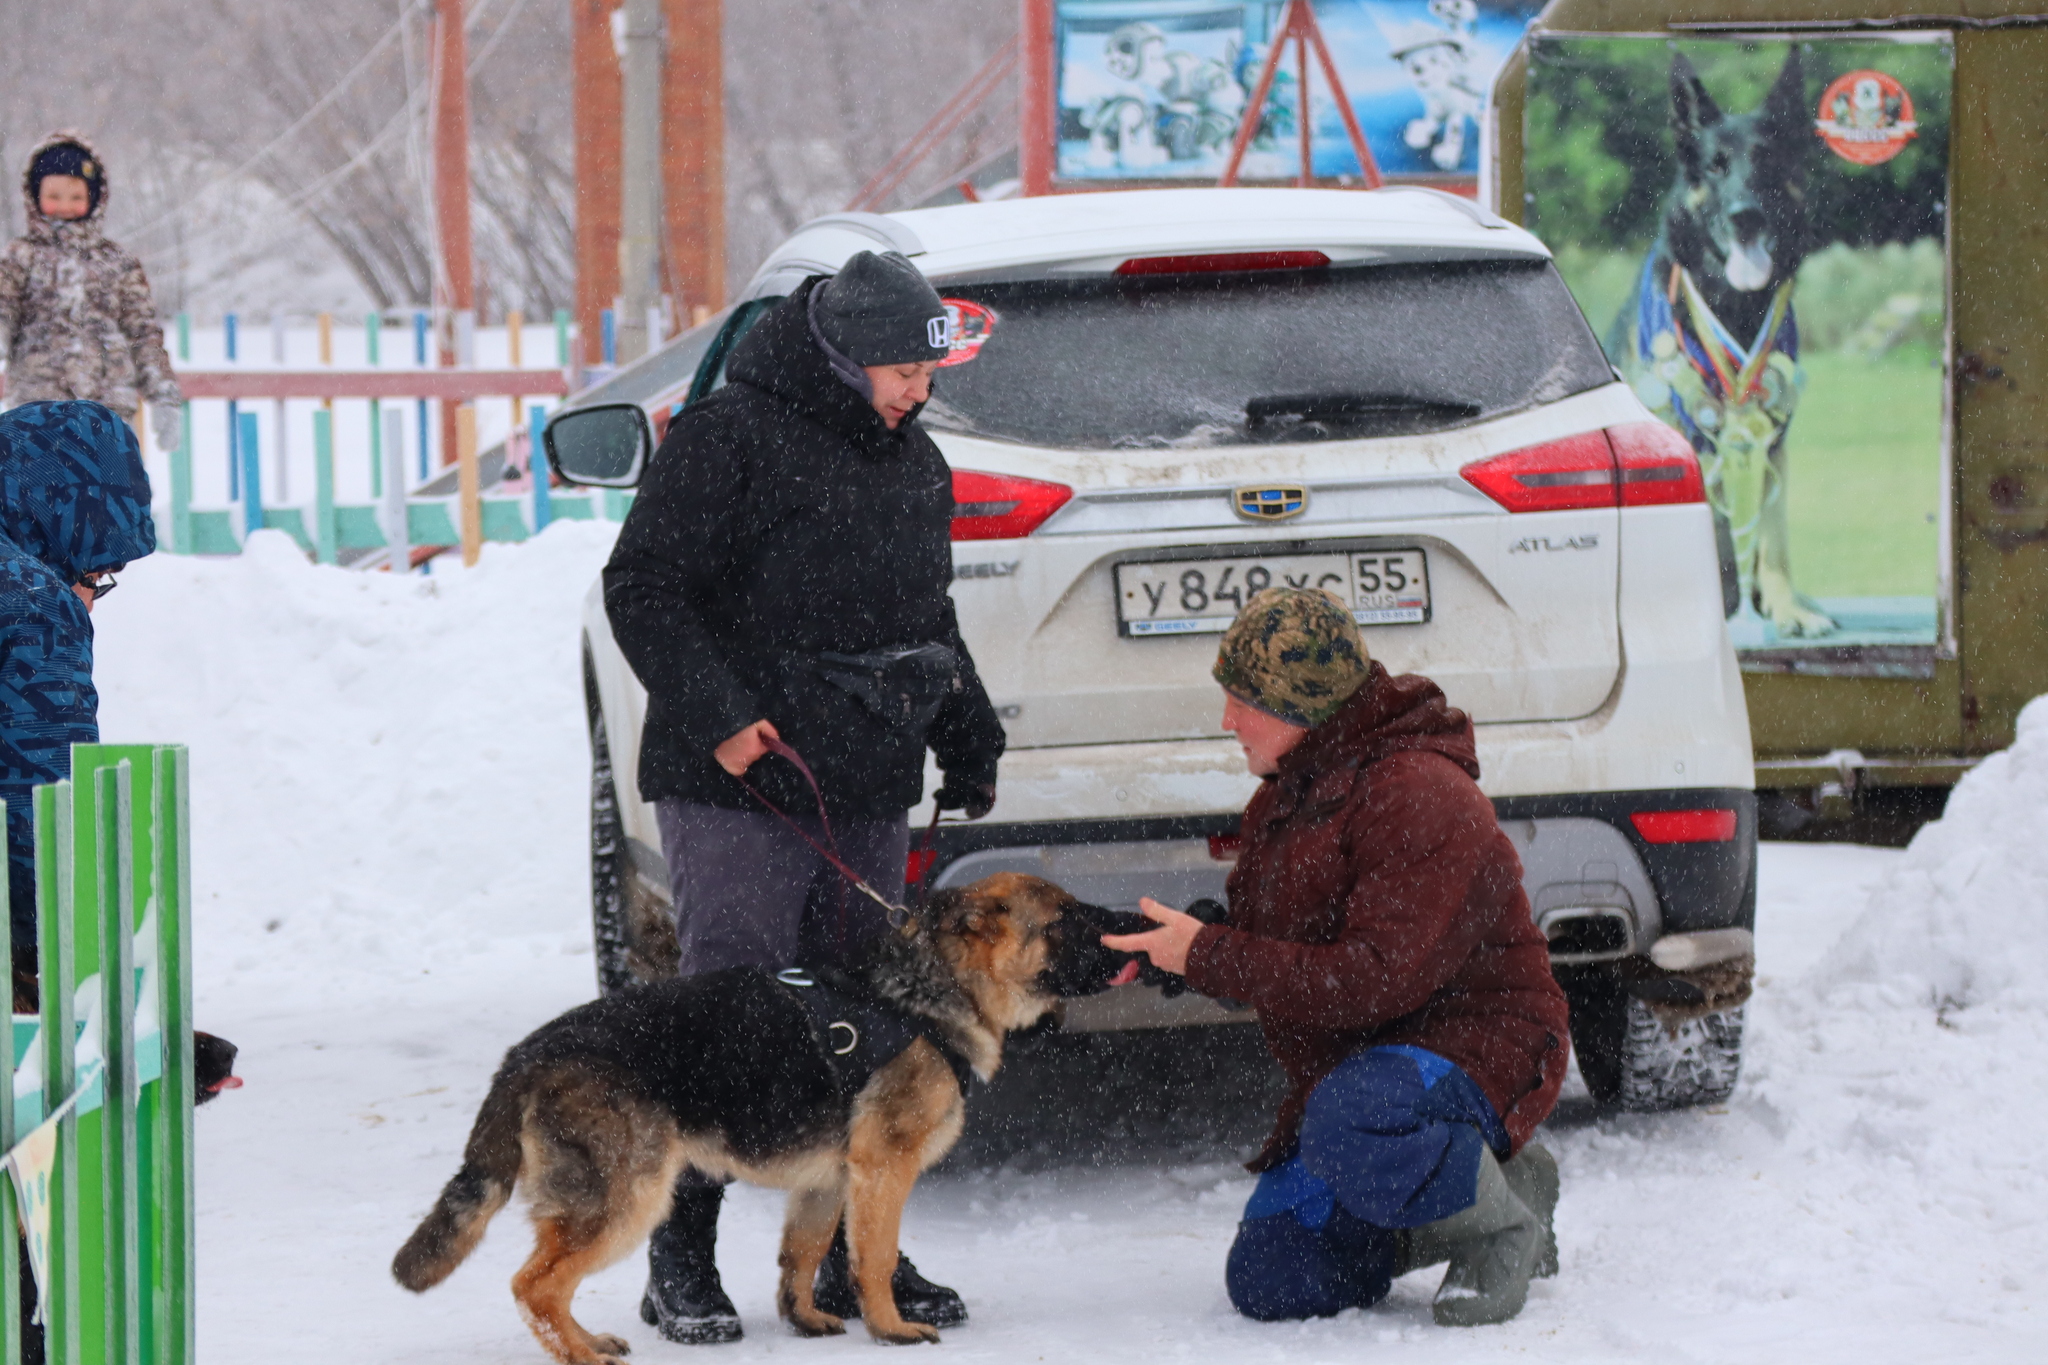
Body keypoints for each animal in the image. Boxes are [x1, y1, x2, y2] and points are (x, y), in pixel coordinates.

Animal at [395, 875, 1138, 1358]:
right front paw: (890, 1328)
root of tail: (527, 1053)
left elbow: (802, 1254)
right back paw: (579, 1354)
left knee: (547, 1284)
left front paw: (804, 1318)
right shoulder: (883, 1169)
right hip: (626, 1199)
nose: (1133, 928)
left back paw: (588, 1339)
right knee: (535, 1285)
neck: (923, 991)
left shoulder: (829, 1180)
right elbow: (873, 1256)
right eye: (1066, 919)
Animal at [1622, 48, 1835, 634]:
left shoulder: (1771, 439)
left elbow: (1774, 537)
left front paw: (1785, 607)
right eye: (1716, 166)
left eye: (1765, 161)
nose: (1746, 219)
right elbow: (1712, 540)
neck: (1733, 310)